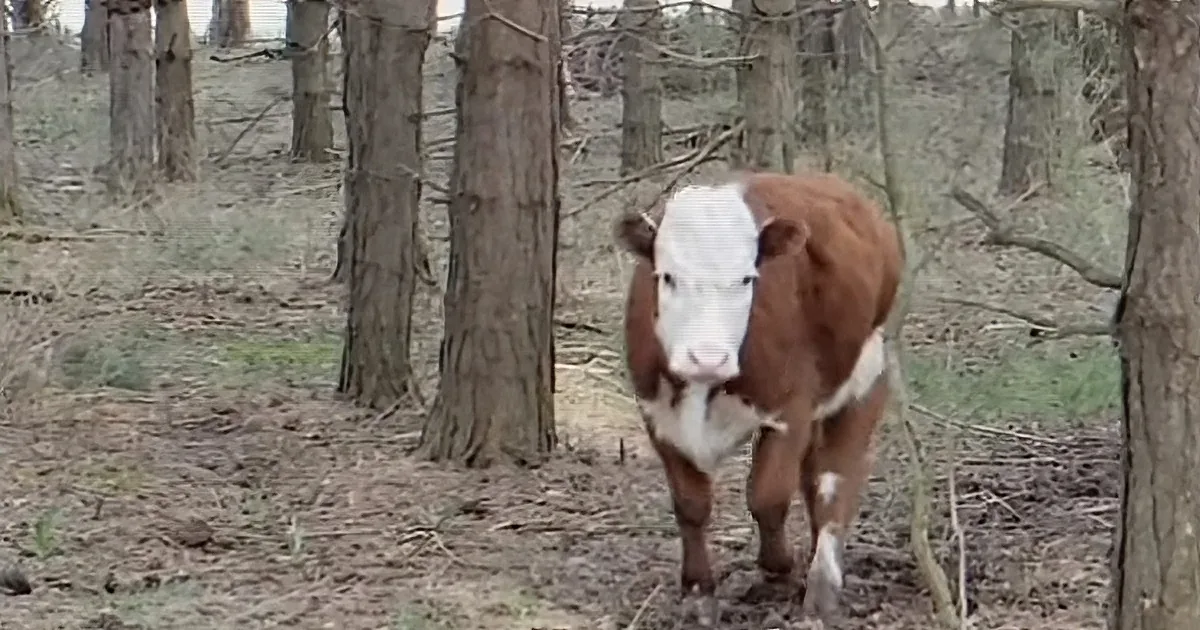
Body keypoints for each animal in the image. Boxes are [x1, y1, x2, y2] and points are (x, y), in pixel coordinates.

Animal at [615, 171, 902, 625]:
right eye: (667, 276)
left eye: (747, 279)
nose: (707, 357)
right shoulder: (656, 414)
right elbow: (690, 503)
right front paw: (698, 590)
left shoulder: (791, 408)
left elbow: (767, 496)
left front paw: (778, 570)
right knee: (813, 477)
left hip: (869, 371)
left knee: (835, 477)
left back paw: (822, 583)